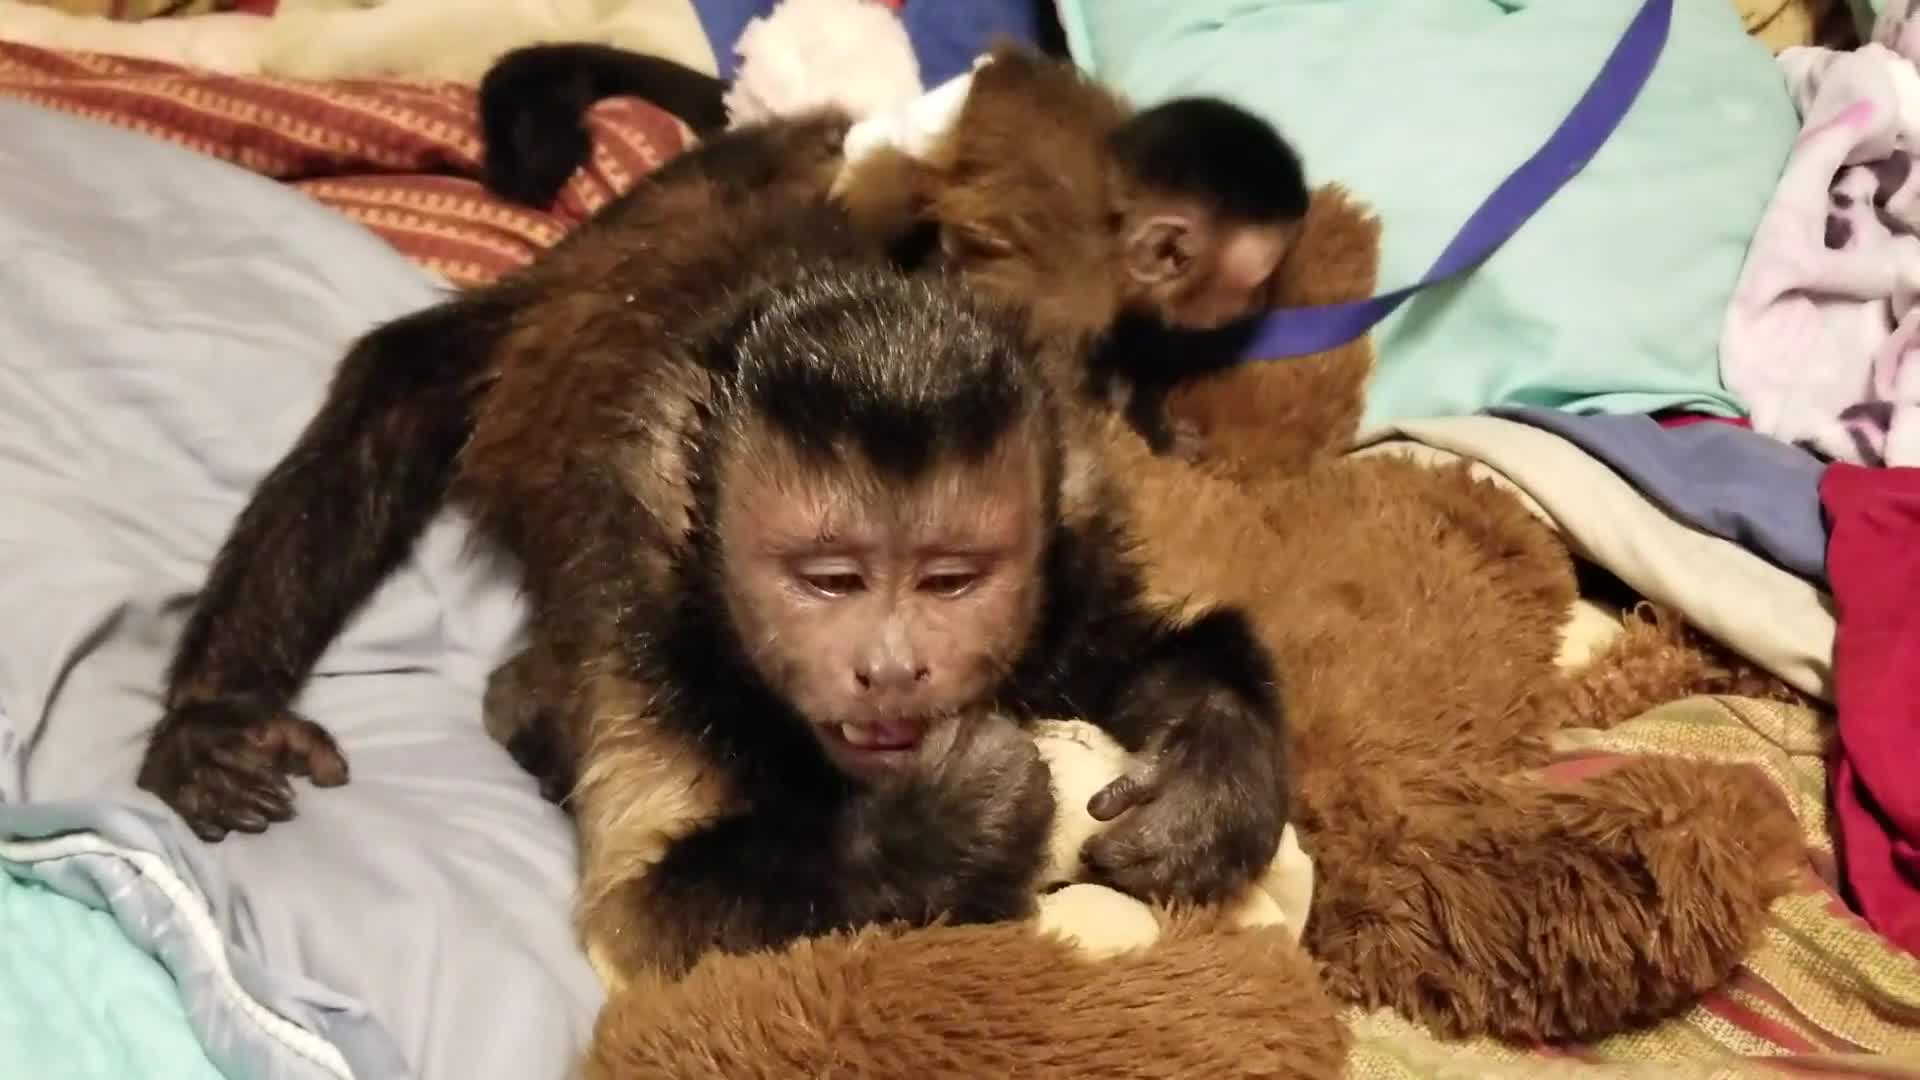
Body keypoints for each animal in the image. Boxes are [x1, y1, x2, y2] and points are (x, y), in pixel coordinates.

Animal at [133, 114, 1291, 986]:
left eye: (951, 580)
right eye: (831, 581)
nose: (892, 668)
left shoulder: (1071, 573)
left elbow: (1140, 653)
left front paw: (1215, 766)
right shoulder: (647, 634)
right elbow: (638, 918)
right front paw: (946, 823)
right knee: (412, 374)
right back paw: (239, 714)